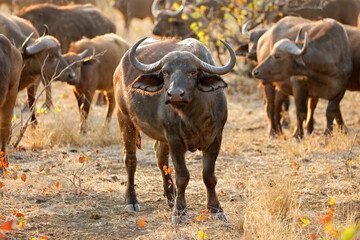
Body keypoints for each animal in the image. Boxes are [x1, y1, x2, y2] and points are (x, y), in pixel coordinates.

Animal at [113, 37, 236, 223]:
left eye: (192, 71)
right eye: (165, 72)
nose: (175, 94)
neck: (194, 116)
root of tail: (119, 68)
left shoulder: (215, 139)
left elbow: (209, 176)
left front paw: (216, 209)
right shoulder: (175, 140)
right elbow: (182, 176)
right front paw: (180, 212)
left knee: (160, 157)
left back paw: (170, 196)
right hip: (124, 118)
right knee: (130, 160)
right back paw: (132, 200)